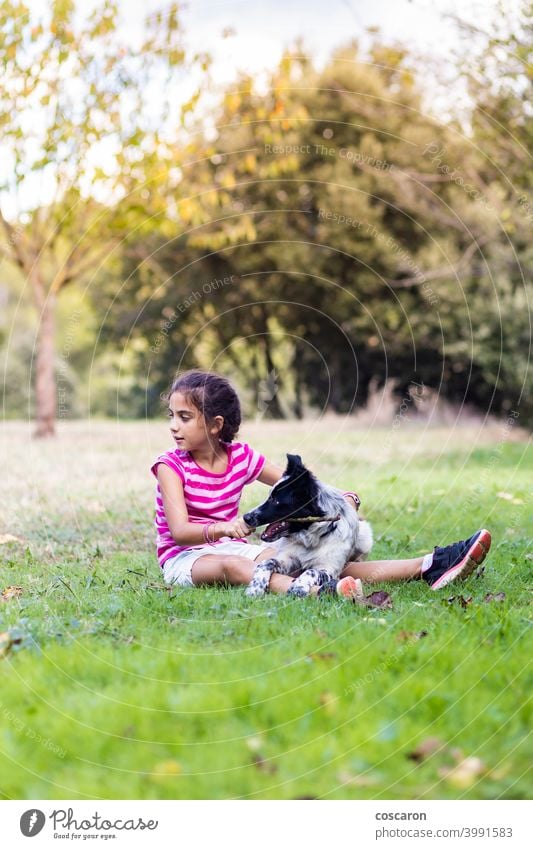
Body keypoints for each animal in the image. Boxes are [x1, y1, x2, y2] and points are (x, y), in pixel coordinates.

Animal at [243, 450, 372, 596]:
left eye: (275, 501)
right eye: (269, 496)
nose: (245, 517)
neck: (310, 538)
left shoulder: (328, 568)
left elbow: (310, 571)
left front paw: (298, 588)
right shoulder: (287, 558)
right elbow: (266, 563)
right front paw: (256, 587)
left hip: (365, 537)